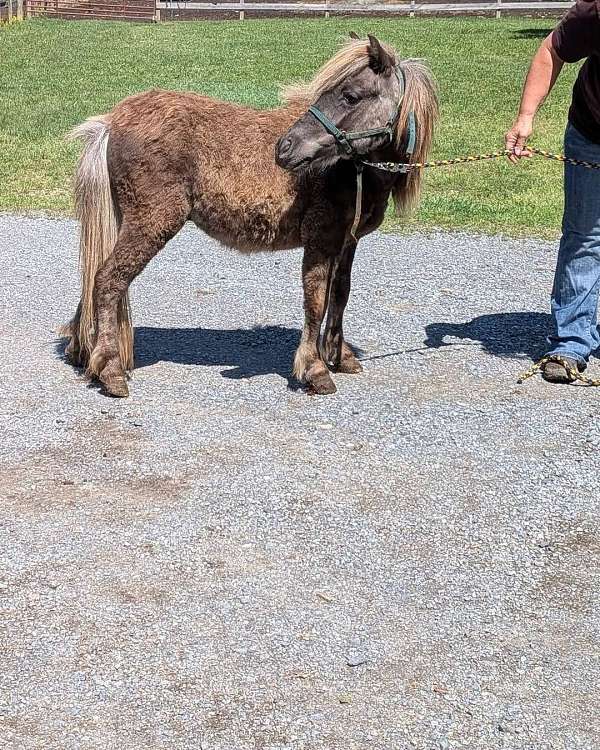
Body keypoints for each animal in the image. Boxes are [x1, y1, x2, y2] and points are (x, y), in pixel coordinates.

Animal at [61, 34, 438, 397]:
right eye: (342, 93)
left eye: (351, 96)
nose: (284, 149)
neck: (351, 170)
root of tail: (112, 121)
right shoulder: (321, 240)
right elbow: (315, 301)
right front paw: (315, 370)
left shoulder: (347, 242)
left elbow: (340, 295)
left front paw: (340, 356)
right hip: (150, 223)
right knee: (108, 280)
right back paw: (110, 370)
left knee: (95, 277)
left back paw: (83, 352)